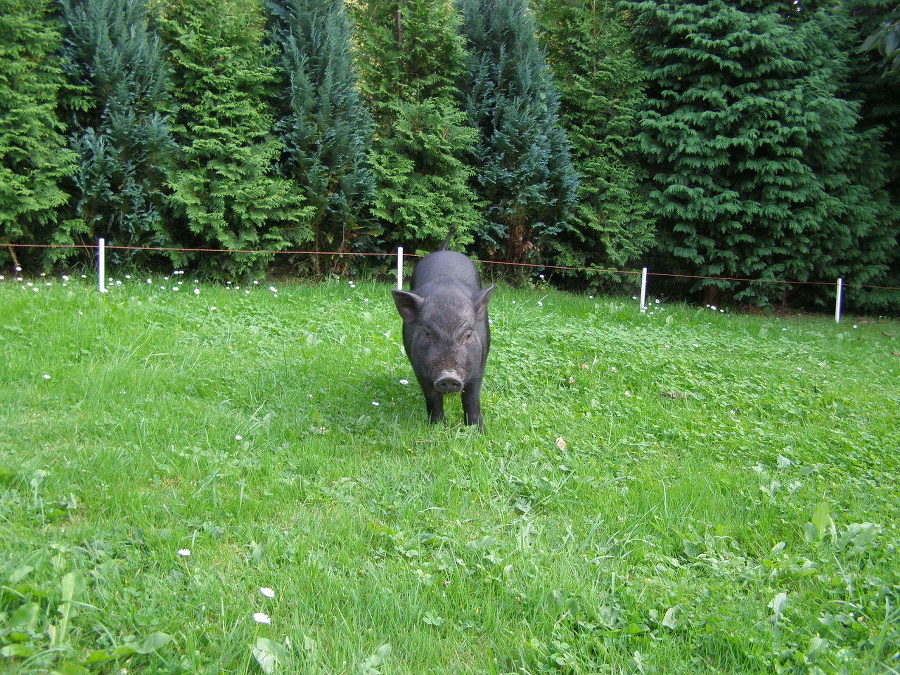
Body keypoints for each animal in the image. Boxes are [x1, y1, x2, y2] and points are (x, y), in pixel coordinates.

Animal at [392, 248, 496, 428]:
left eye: (468, 335)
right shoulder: (419, 369)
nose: (448, 376)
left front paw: (478, 430)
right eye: (428, 334)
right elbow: (432, 397)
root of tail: (444, 251)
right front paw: (437, 426)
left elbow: (471, 398)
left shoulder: (479, 366)